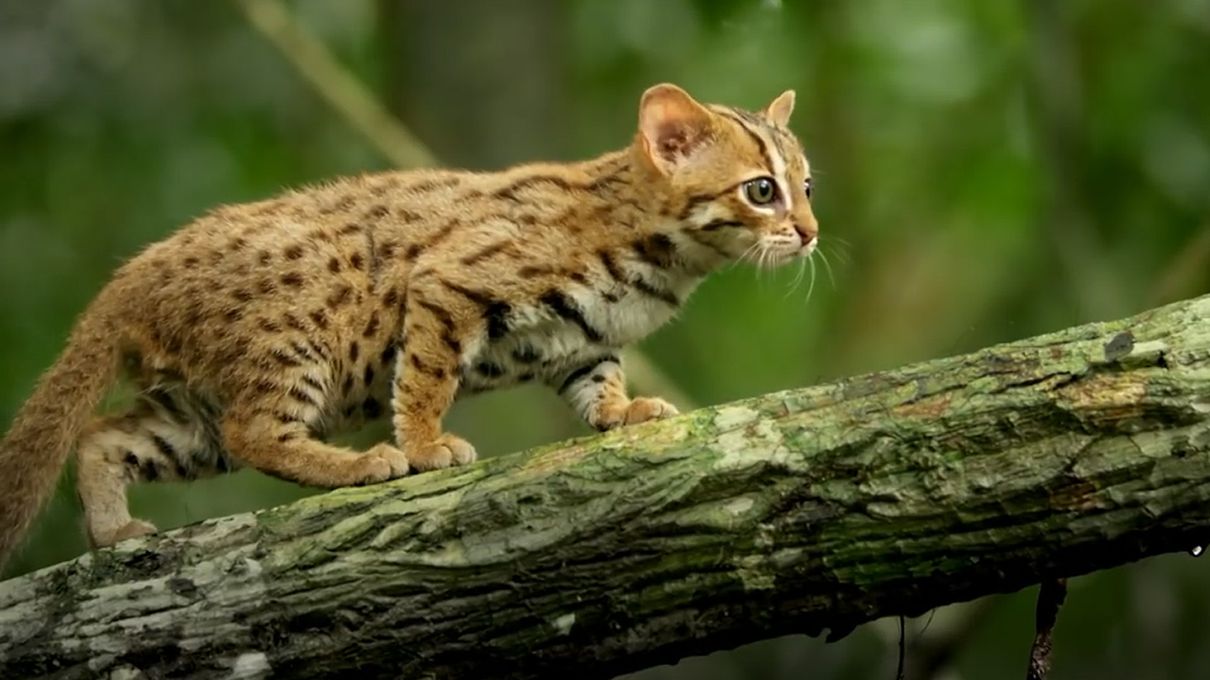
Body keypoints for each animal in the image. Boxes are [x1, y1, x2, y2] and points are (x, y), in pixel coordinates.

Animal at [0, 84, 822, 559]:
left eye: (807, 186)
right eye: (761, 191)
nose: (813, 234)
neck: (666, 260)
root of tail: (132, 275)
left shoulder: (582, 344)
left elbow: (598, 383)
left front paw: (622, 412)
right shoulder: (446, 284)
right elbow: (425, 377)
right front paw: (426, 447)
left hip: (192, 415)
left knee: (102, 437)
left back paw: (111, 530)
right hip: (301, 327)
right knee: (257, 430)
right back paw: (362, 464)